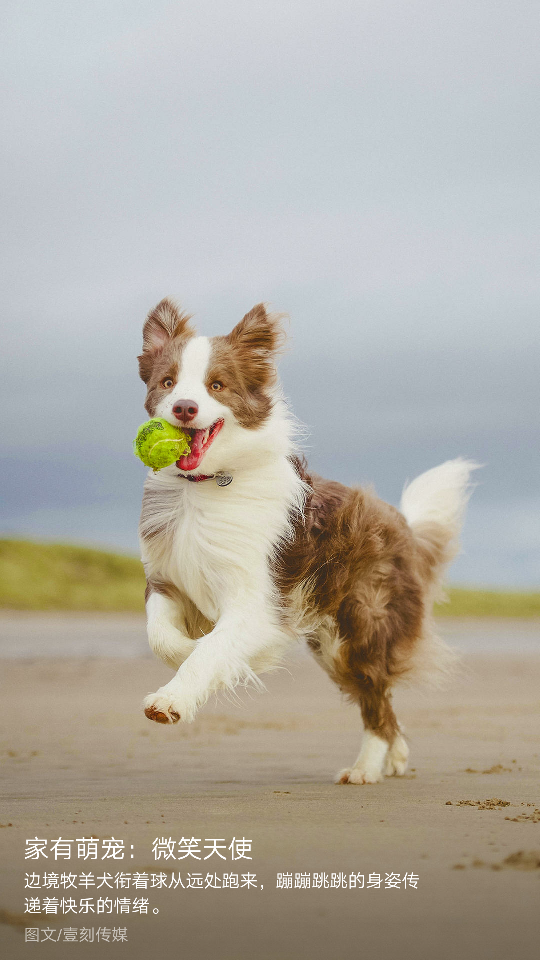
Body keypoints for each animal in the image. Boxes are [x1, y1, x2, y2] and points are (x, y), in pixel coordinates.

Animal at [137, 296, 474, 784]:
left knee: (375, 698)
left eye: (216, 385)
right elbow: (162, 635)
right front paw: (187, 648)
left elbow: (213, 648)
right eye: (168, 382)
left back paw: (365, 767)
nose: (183, 407)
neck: (205, 485)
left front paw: (171, 700)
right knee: (383, 702)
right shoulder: (166, 578)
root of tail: (402, 523)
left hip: (354, 633)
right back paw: (394, 756)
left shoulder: (257, 601)